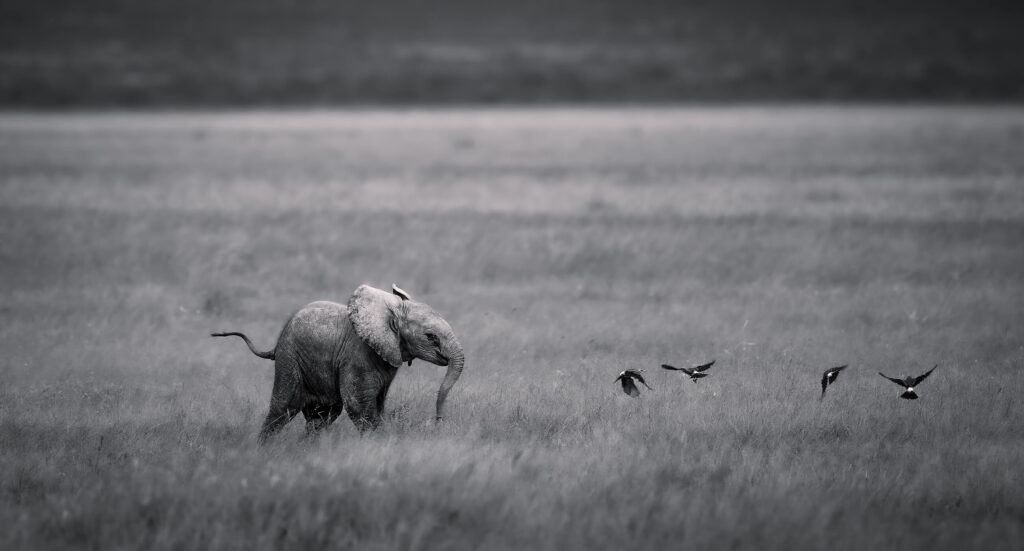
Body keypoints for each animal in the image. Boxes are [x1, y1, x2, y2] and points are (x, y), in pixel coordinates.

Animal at [212, 284, 464, 443]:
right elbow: (358, 406)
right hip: (289, 359)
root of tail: (275, 345)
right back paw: (263, 449)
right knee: (281, 410)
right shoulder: (358, 356)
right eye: (431, 337)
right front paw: (376, 444)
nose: (439, 421)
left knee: (322, 417)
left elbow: (378, 404)